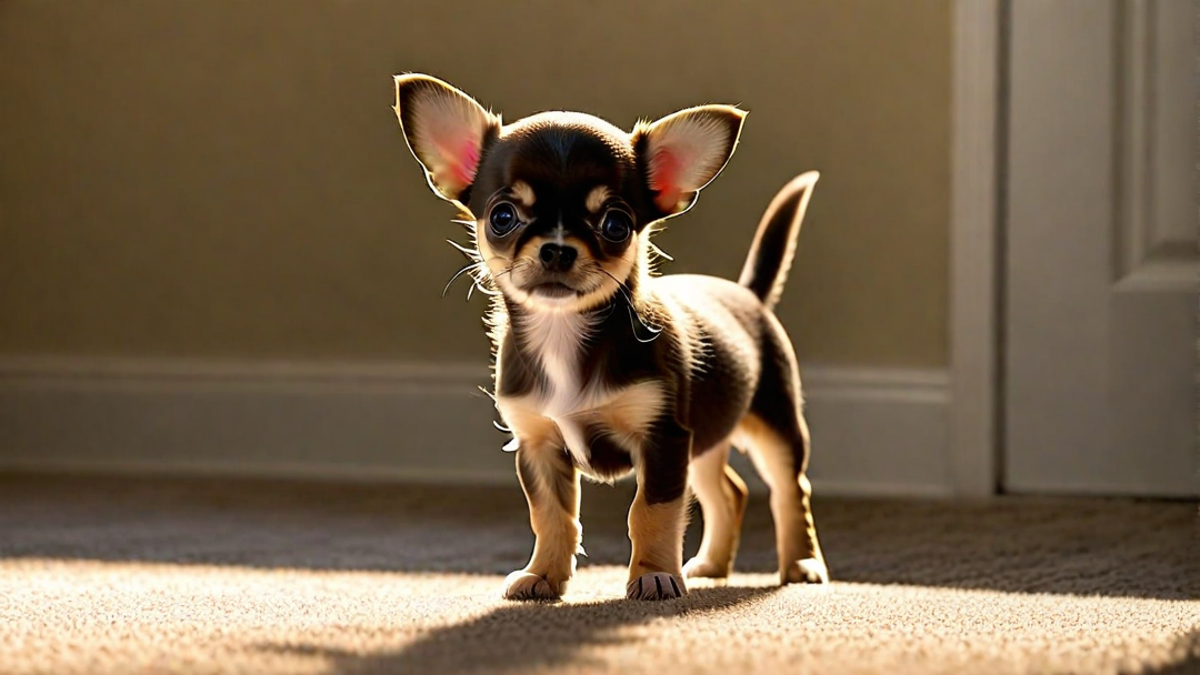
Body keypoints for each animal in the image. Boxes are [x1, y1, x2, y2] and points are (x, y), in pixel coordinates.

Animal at [391, 72, 825, 598]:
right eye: (502, 217)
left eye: (616, 224)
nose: (557, 249)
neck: (564, 332)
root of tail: (749, 294)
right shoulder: (540, 446)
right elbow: (552, 517)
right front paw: (543, 575)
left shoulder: (663, 441)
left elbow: (651, 512)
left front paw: (655, 575)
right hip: (705, 437)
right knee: (729, 493)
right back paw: (711, 566)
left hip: (774, 424)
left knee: (789, 489)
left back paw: (800, 564)